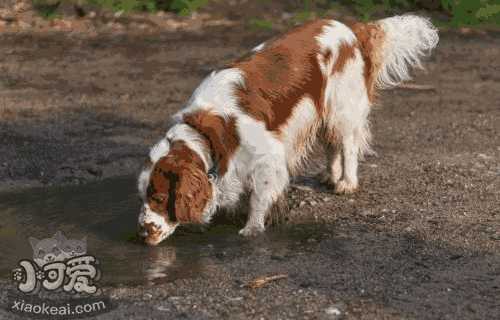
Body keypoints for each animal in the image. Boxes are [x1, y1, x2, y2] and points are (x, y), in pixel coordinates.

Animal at [137, 15, 438, 245]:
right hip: (321, 114)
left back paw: (346, 182)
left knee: (348, 145)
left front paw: (252, 227)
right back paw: (330, 176)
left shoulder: (267, 156)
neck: (209, 131)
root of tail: (350, 27)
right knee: (331, 145)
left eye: (160, 197)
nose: (142, 231)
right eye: (143, 196)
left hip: (341, 109)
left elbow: (259, 196)